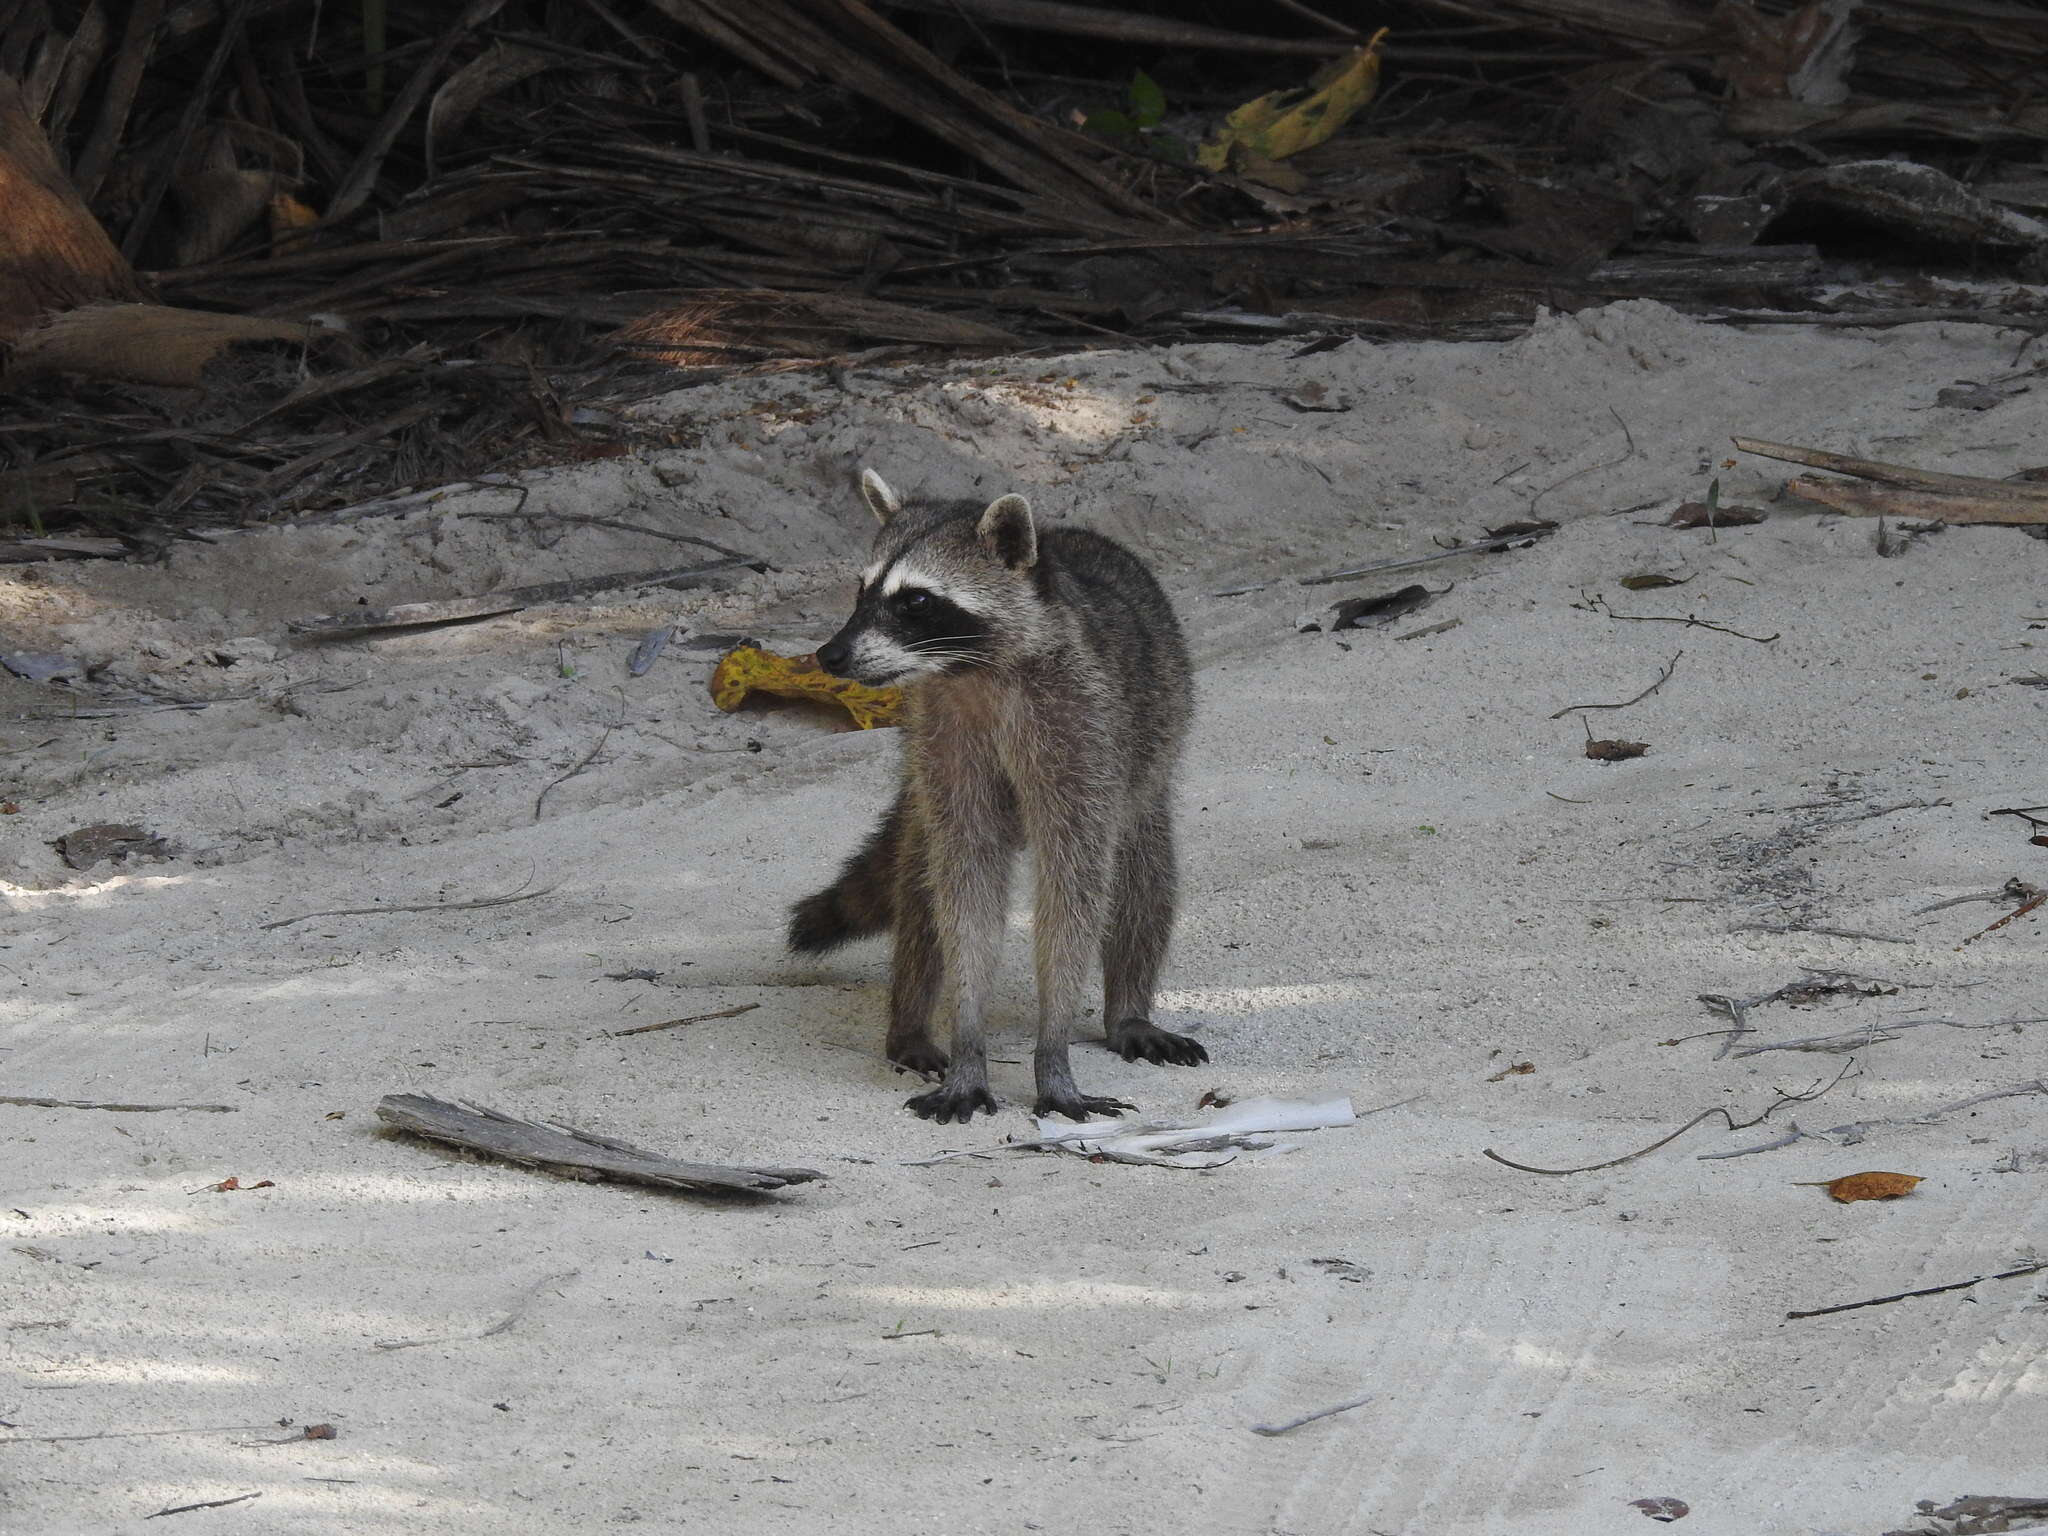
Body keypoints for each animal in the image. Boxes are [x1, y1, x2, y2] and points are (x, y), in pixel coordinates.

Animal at [778, 462, 1196, 1122]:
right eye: (860, 591)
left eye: (916, 601)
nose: (830, 655)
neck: (973, 670)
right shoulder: (944, 737)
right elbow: (965, 892)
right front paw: (967, 1040)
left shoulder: (1083, 735)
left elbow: (1074, 890)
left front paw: (1053, 1051)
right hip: (924, 779)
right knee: (921, 886)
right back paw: (910, 1021)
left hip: (1148, 753)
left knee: (1140, 866)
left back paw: (1127, 1009)